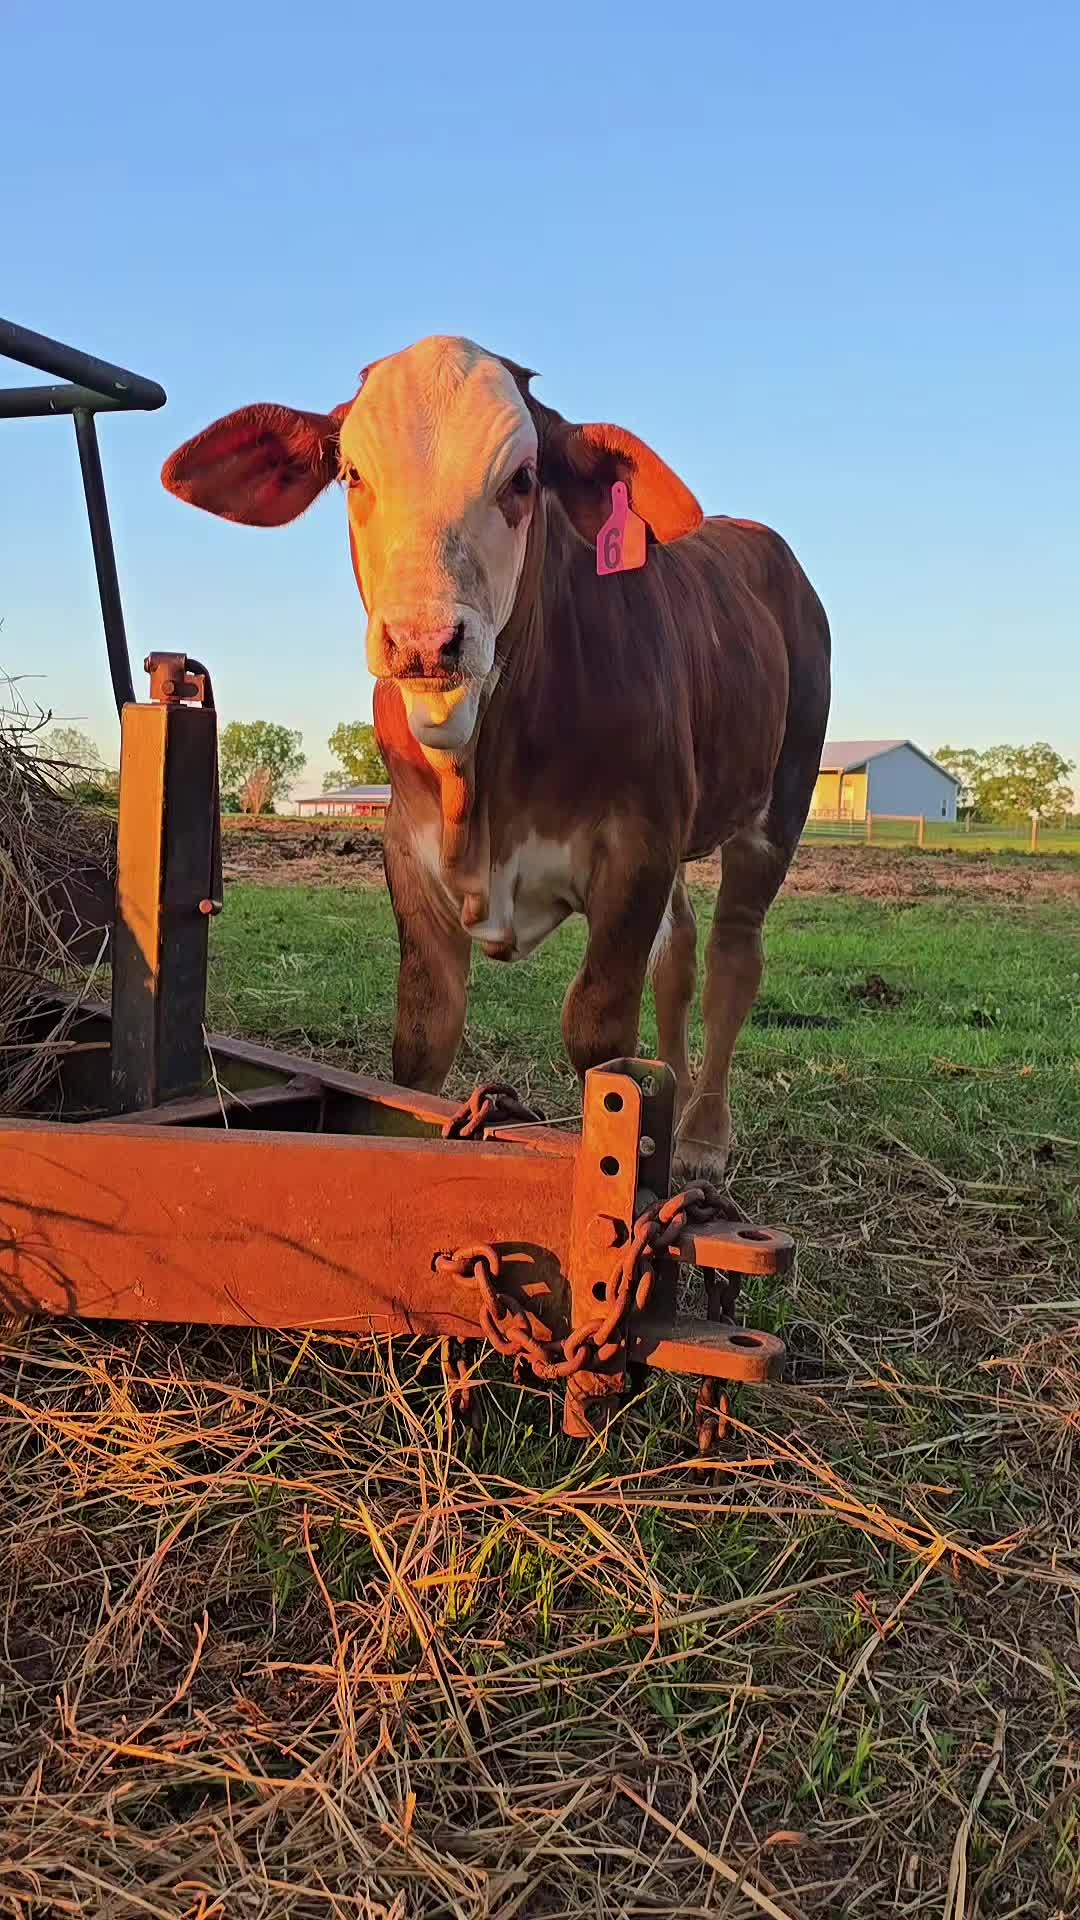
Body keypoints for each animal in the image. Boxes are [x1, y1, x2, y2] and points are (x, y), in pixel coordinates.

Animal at [162, 337, 831, 1187]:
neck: (478, 784)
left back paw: (705, 1135)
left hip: (779, 805)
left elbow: (600, 1037)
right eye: (352, 474)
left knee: (733, 958)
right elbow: (423, 1035)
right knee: (678, 958)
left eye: (522, 480)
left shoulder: (635, 851)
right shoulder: (410, 856)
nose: (423, 639)